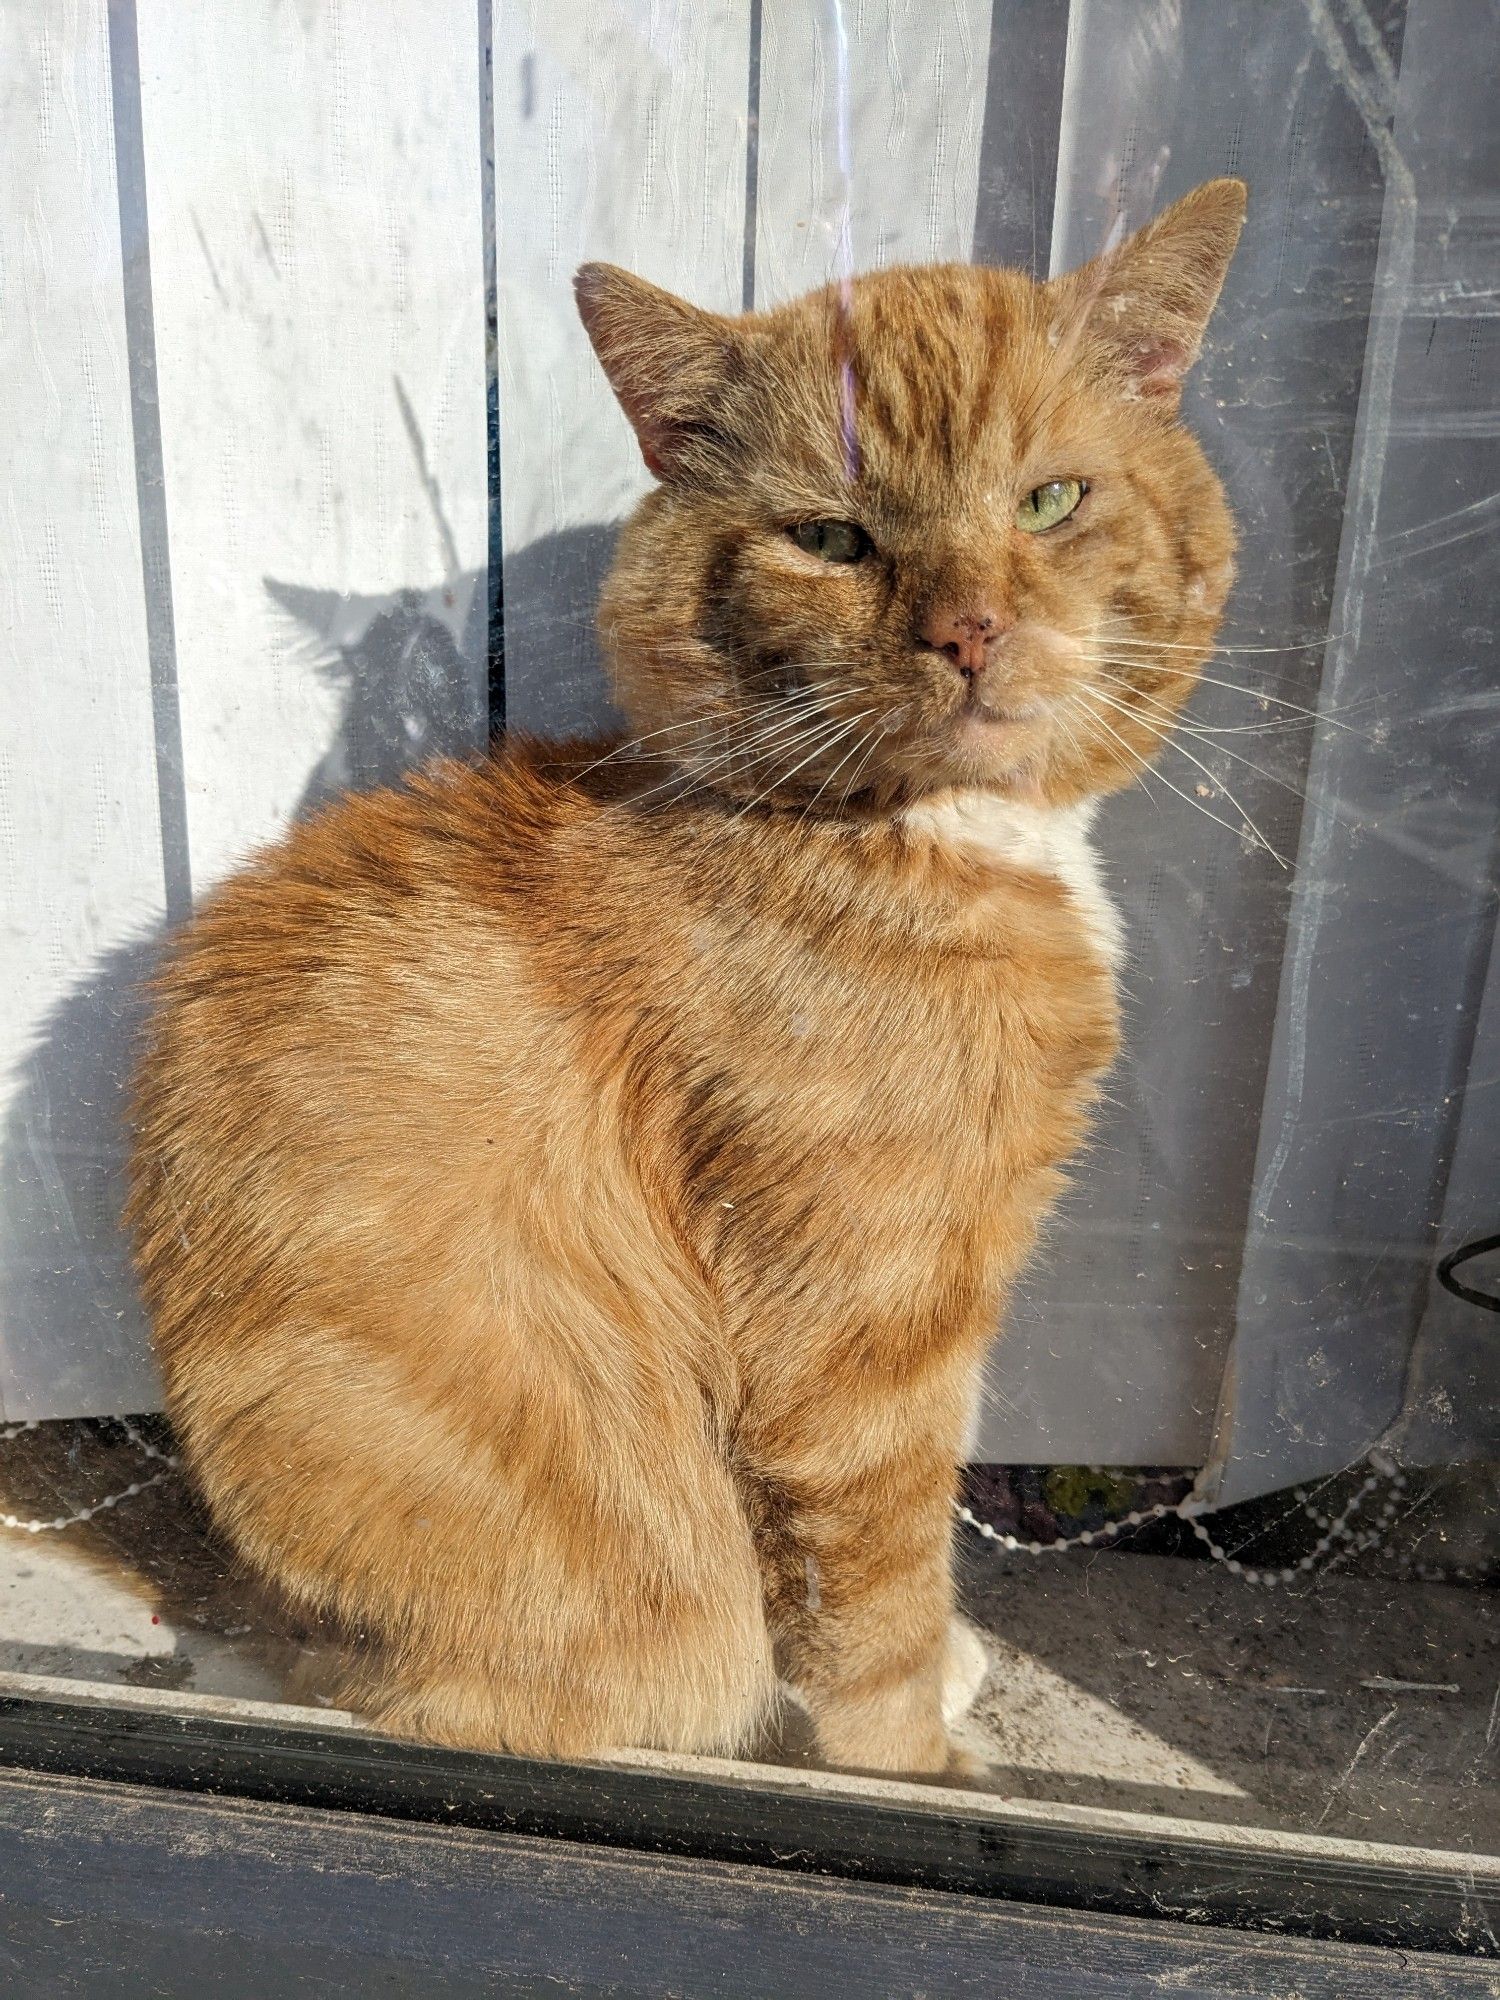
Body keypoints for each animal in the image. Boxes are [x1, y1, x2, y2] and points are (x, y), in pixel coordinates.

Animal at [126, 180, 1248, 1776]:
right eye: (832, 538)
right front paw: (914, 1760)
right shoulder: (863, 1337)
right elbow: (878, 1585)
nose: (967, 629)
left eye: (1050, 500)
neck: (916, 841)